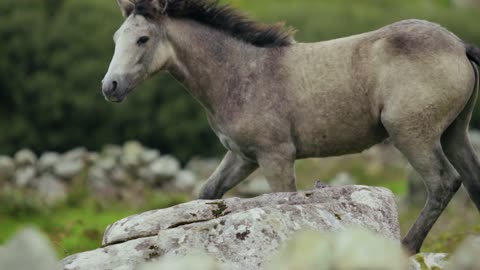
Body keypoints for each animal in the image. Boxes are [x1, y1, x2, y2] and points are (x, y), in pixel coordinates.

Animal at [103, 0, 480, 254]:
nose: (110, 87)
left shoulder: (276, 157)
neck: (241, 74)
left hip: (412, 134)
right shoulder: (243, 157)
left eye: (143, 39)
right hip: (454, 134)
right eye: (116, 37)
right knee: (472, 182)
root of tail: (459, 45)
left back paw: (406, 248)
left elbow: (284, 203)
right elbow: (208, 193)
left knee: (444, 183)